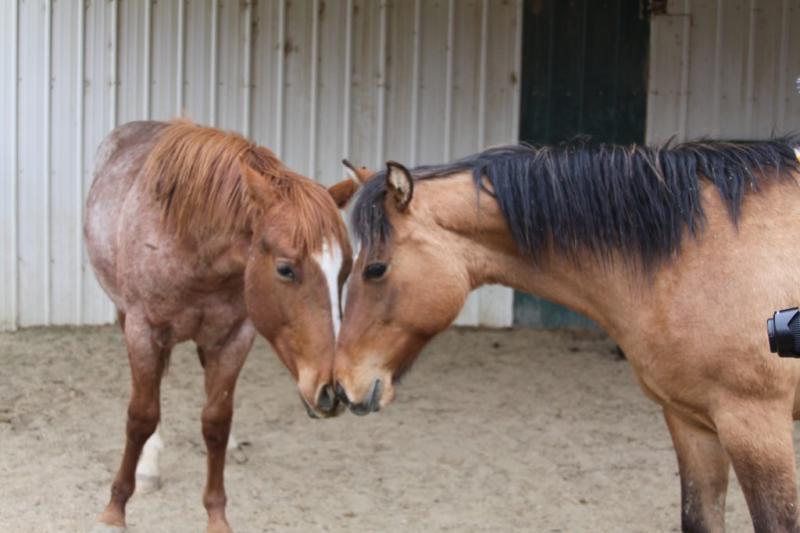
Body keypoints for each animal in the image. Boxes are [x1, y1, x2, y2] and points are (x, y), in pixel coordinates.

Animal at [84, 120, 357, 533]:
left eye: (344, 271)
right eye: (285, 269)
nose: (333, 391)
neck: (190, 245)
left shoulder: (234, 337)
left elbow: (216, 420)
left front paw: (216, 514)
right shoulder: (142, 330)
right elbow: (141, 416)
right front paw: (116, 507)